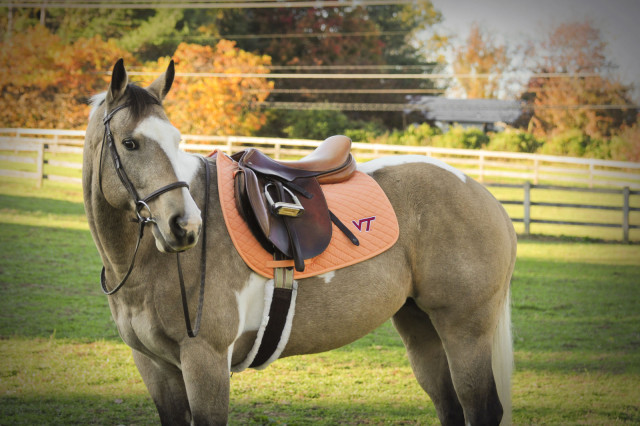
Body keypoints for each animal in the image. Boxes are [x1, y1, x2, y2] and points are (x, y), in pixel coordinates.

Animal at [82, 58, 516, 424]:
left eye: (175, 140)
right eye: (130, 143)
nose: (186, 226)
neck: (146, 268)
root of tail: (484, 195)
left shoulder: (205, 362)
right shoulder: (155, 367)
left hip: (465, 330)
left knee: (481, 408)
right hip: (421, 327)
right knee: (450, 406)